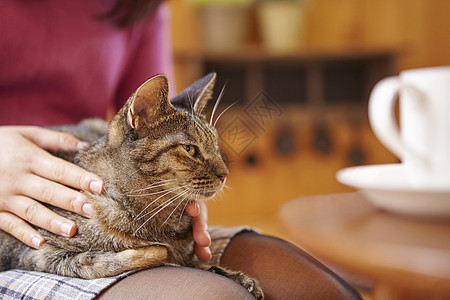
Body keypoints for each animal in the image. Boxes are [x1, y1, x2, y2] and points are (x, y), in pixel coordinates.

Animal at [0, 73, 264, 300]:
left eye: (216, 146)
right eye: (190, 149)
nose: (225, 174)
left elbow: (198, 262)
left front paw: (232, 275)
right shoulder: (38, 253)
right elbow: (110, 260)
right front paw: (163, 253)